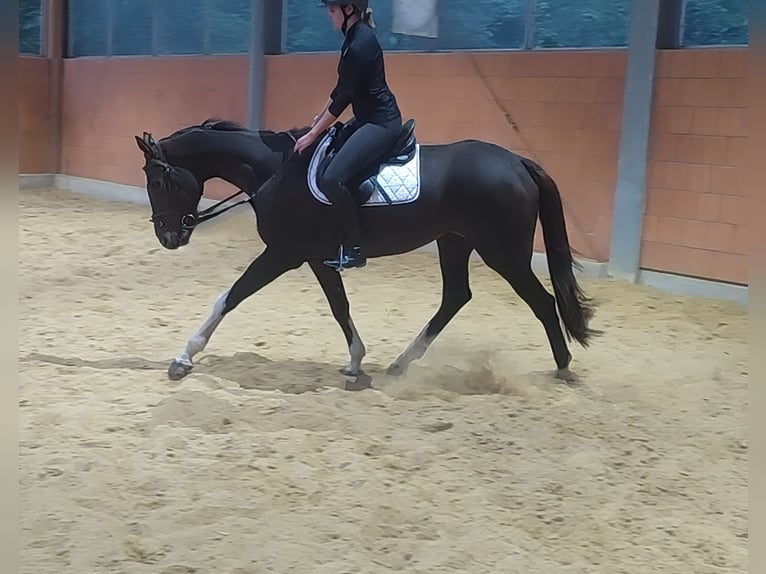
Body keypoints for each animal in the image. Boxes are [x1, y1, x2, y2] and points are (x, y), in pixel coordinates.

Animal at [134, 117, 600, 384]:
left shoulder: (283, 254)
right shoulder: (316, 258)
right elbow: (339, 307)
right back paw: (400, 365)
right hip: (454, 242)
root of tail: (517, 162)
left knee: (542, 302)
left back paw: (563, 368)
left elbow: (229, 297)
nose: (168, 237)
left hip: (503, 252)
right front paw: (356, 364)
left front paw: (183, 358)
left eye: (156, 181)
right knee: (456, 297)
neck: (276, 171)